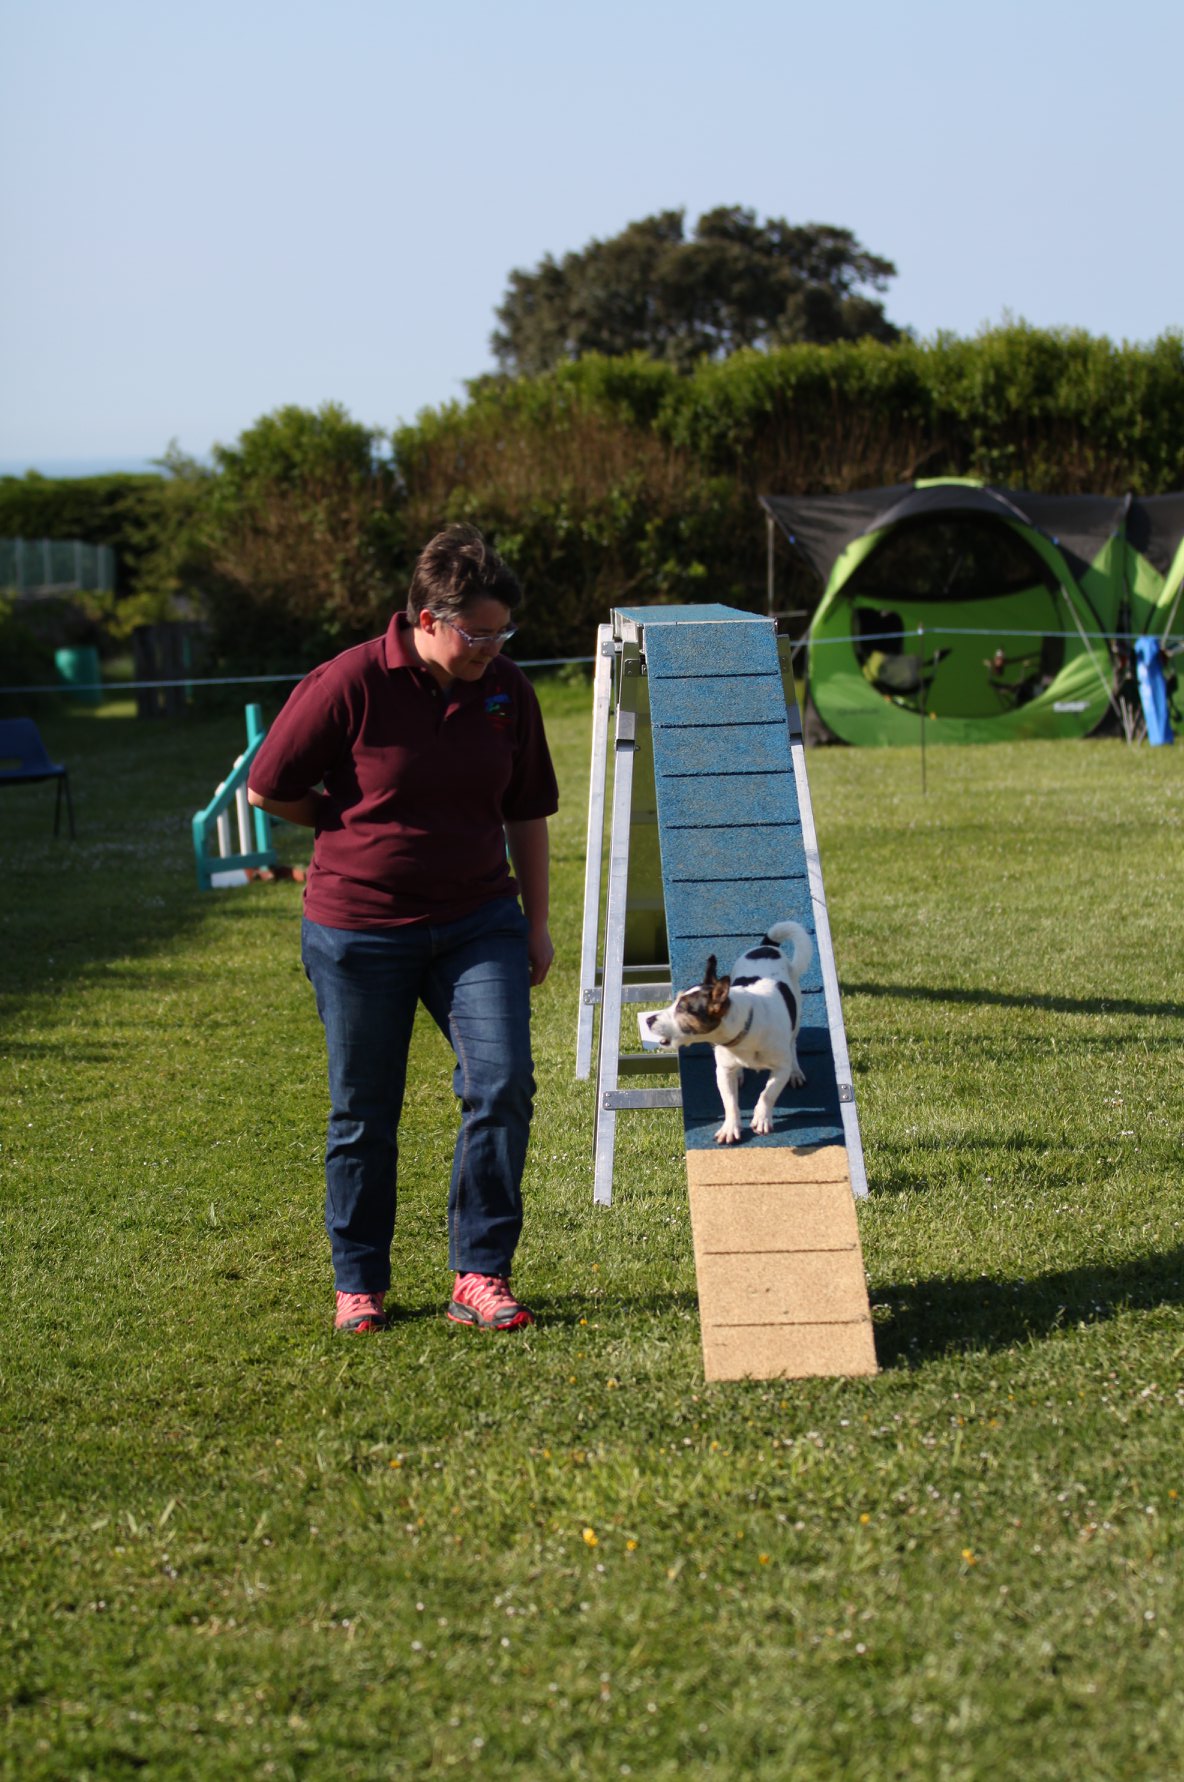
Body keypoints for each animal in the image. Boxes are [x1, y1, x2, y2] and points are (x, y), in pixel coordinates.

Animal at [638, 921, 812, 1144]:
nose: (649, 1020)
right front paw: (730, 1127)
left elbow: (768, 1093)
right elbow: (729, 1101)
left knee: (793, 1044)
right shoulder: (722, 1070)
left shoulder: (780, 1068)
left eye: (684, 1009)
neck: (745, 1032)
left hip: (796, 1015)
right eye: (674, 1002)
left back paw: (796, 1071)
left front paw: (762, 1118)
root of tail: (767, 947)